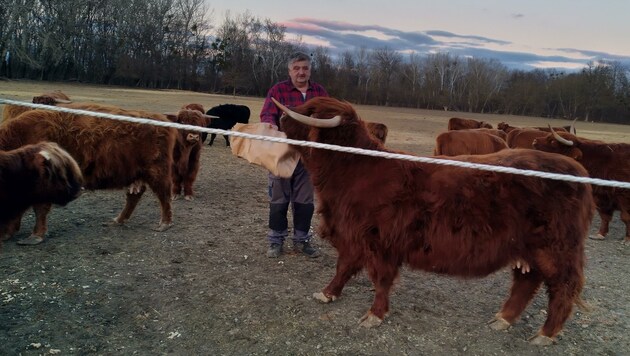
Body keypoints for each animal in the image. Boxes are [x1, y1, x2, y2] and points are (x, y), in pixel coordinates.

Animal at [272, 95, 596, 344]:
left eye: (309, 112)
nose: (280, 116)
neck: (353, 169)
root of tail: (576, 170)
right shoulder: (353, 235)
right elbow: (345, 267)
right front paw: (328, 293)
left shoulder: (379, 241)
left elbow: (380, 279)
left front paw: (374, 315)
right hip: (527, 249)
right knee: (526, 281)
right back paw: (503, 319)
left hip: (557, 248)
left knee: (562, 287)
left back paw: (545, 334)